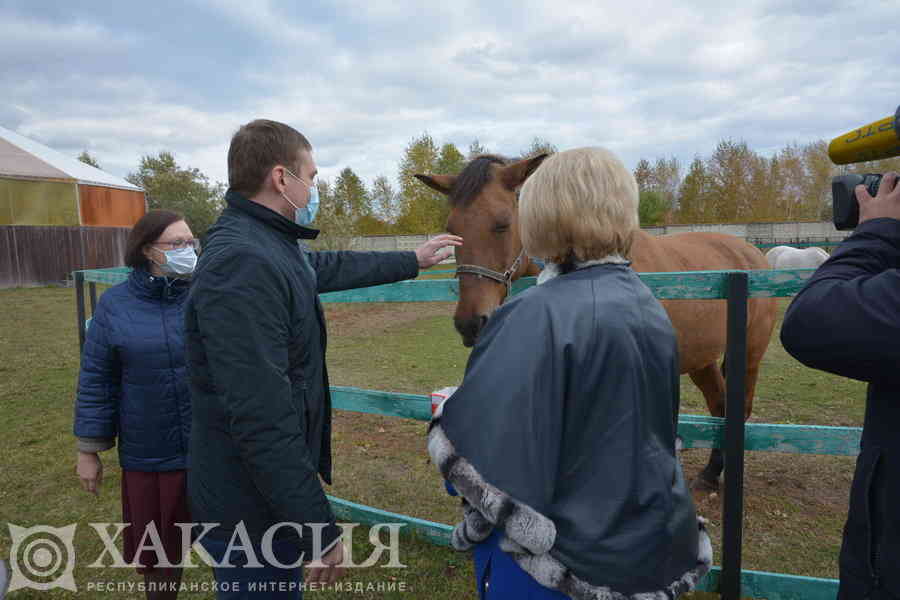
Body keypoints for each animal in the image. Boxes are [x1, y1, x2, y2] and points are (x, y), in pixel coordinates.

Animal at [418, 152, 776, 490]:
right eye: (452, 229)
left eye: (502, 224)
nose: (470, 323)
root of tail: (751, 254)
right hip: (702, 359)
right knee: (719, 407)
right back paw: (711, 473)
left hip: (748, 356)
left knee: (738, 410)